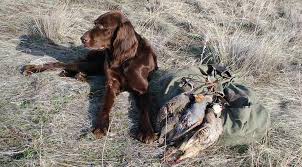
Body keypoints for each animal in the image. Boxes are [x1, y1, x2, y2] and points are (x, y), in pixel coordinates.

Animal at [23, 10, 158, 144]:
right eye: (95, 23)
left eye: (102, 26)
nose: (82, 39)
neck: (124, 60)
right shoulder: (111, 84)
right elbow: (105, 106)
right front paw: (101, 126)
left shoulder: (143, 89)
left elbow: (145, 110)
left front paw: (147, 131)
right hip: (93, 64)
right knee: (62, 64)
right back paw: (33, 68)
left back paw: (76, 75)